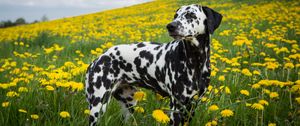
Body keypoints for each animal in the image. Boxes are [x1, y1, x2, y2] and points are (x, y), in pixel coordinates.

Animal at [85, 4, 221, 126]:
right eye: (175, 15)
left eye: (191, 15)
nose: (170, 26)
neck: (195, 60)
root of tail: (98, 59)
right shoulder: (176, 108)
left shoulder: (191, 107)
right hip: (98, 106)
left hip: (129, 104)